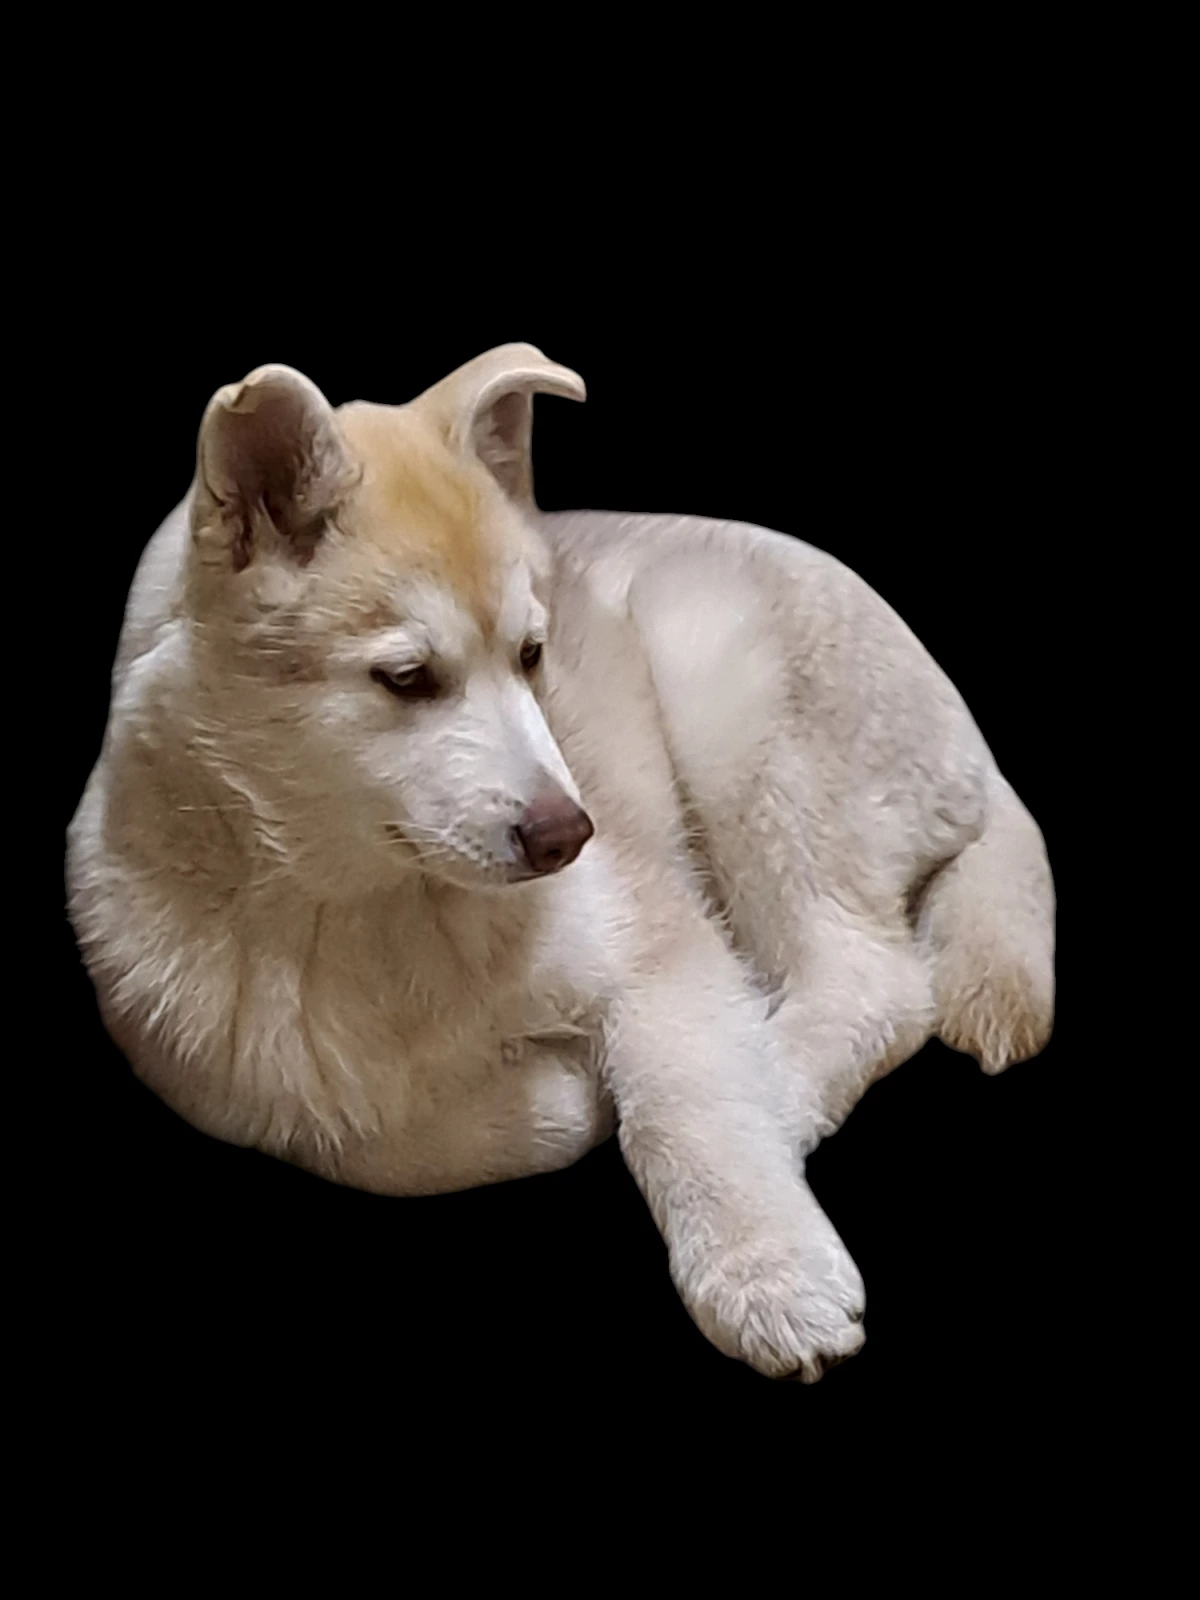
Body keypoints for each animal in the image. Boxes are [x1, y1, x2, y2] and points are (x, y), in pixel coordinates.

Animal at [66, 343, 1055, 1381]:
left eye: (533, 654)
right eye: (406, 679)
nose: (566, 838)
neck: (368, 906)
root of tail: (979, 748)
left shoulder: (656, 933)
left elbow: (686, 1100)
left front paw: (769, 1279)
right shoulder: (220, 1081)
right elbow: (373, 1140)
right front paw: (557, 1100)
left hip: (737, 710)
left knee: (870, 982)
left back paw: (772, 1092)